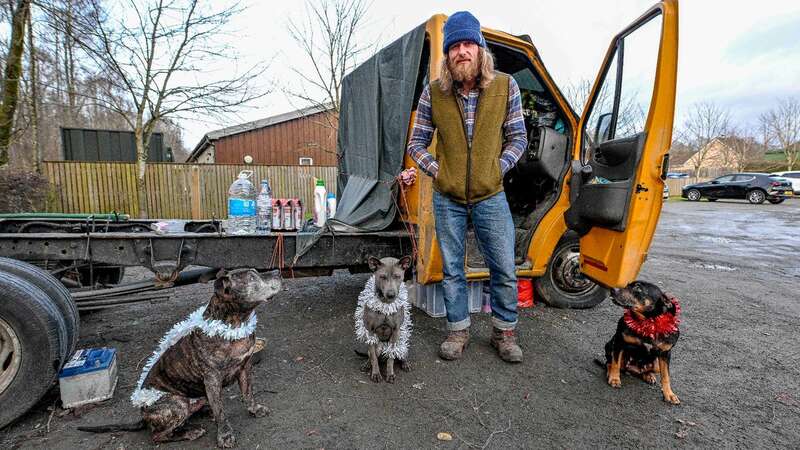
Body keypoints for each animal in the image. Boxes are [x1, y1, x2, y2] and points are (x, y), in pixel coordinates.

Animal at [78, 268, 282, 448]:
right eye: (252, 277)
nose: (278, 272)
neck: (234, 324)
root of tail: (143, 413)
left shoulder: (245, 367)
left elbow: (248, 393)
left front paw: (255, 409)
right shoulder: (212, 380)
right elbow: (221, 412)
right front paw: (225, 435)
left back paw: (204, 412)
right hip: (177, 403)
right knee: (158, 435)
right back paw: (191, 431)